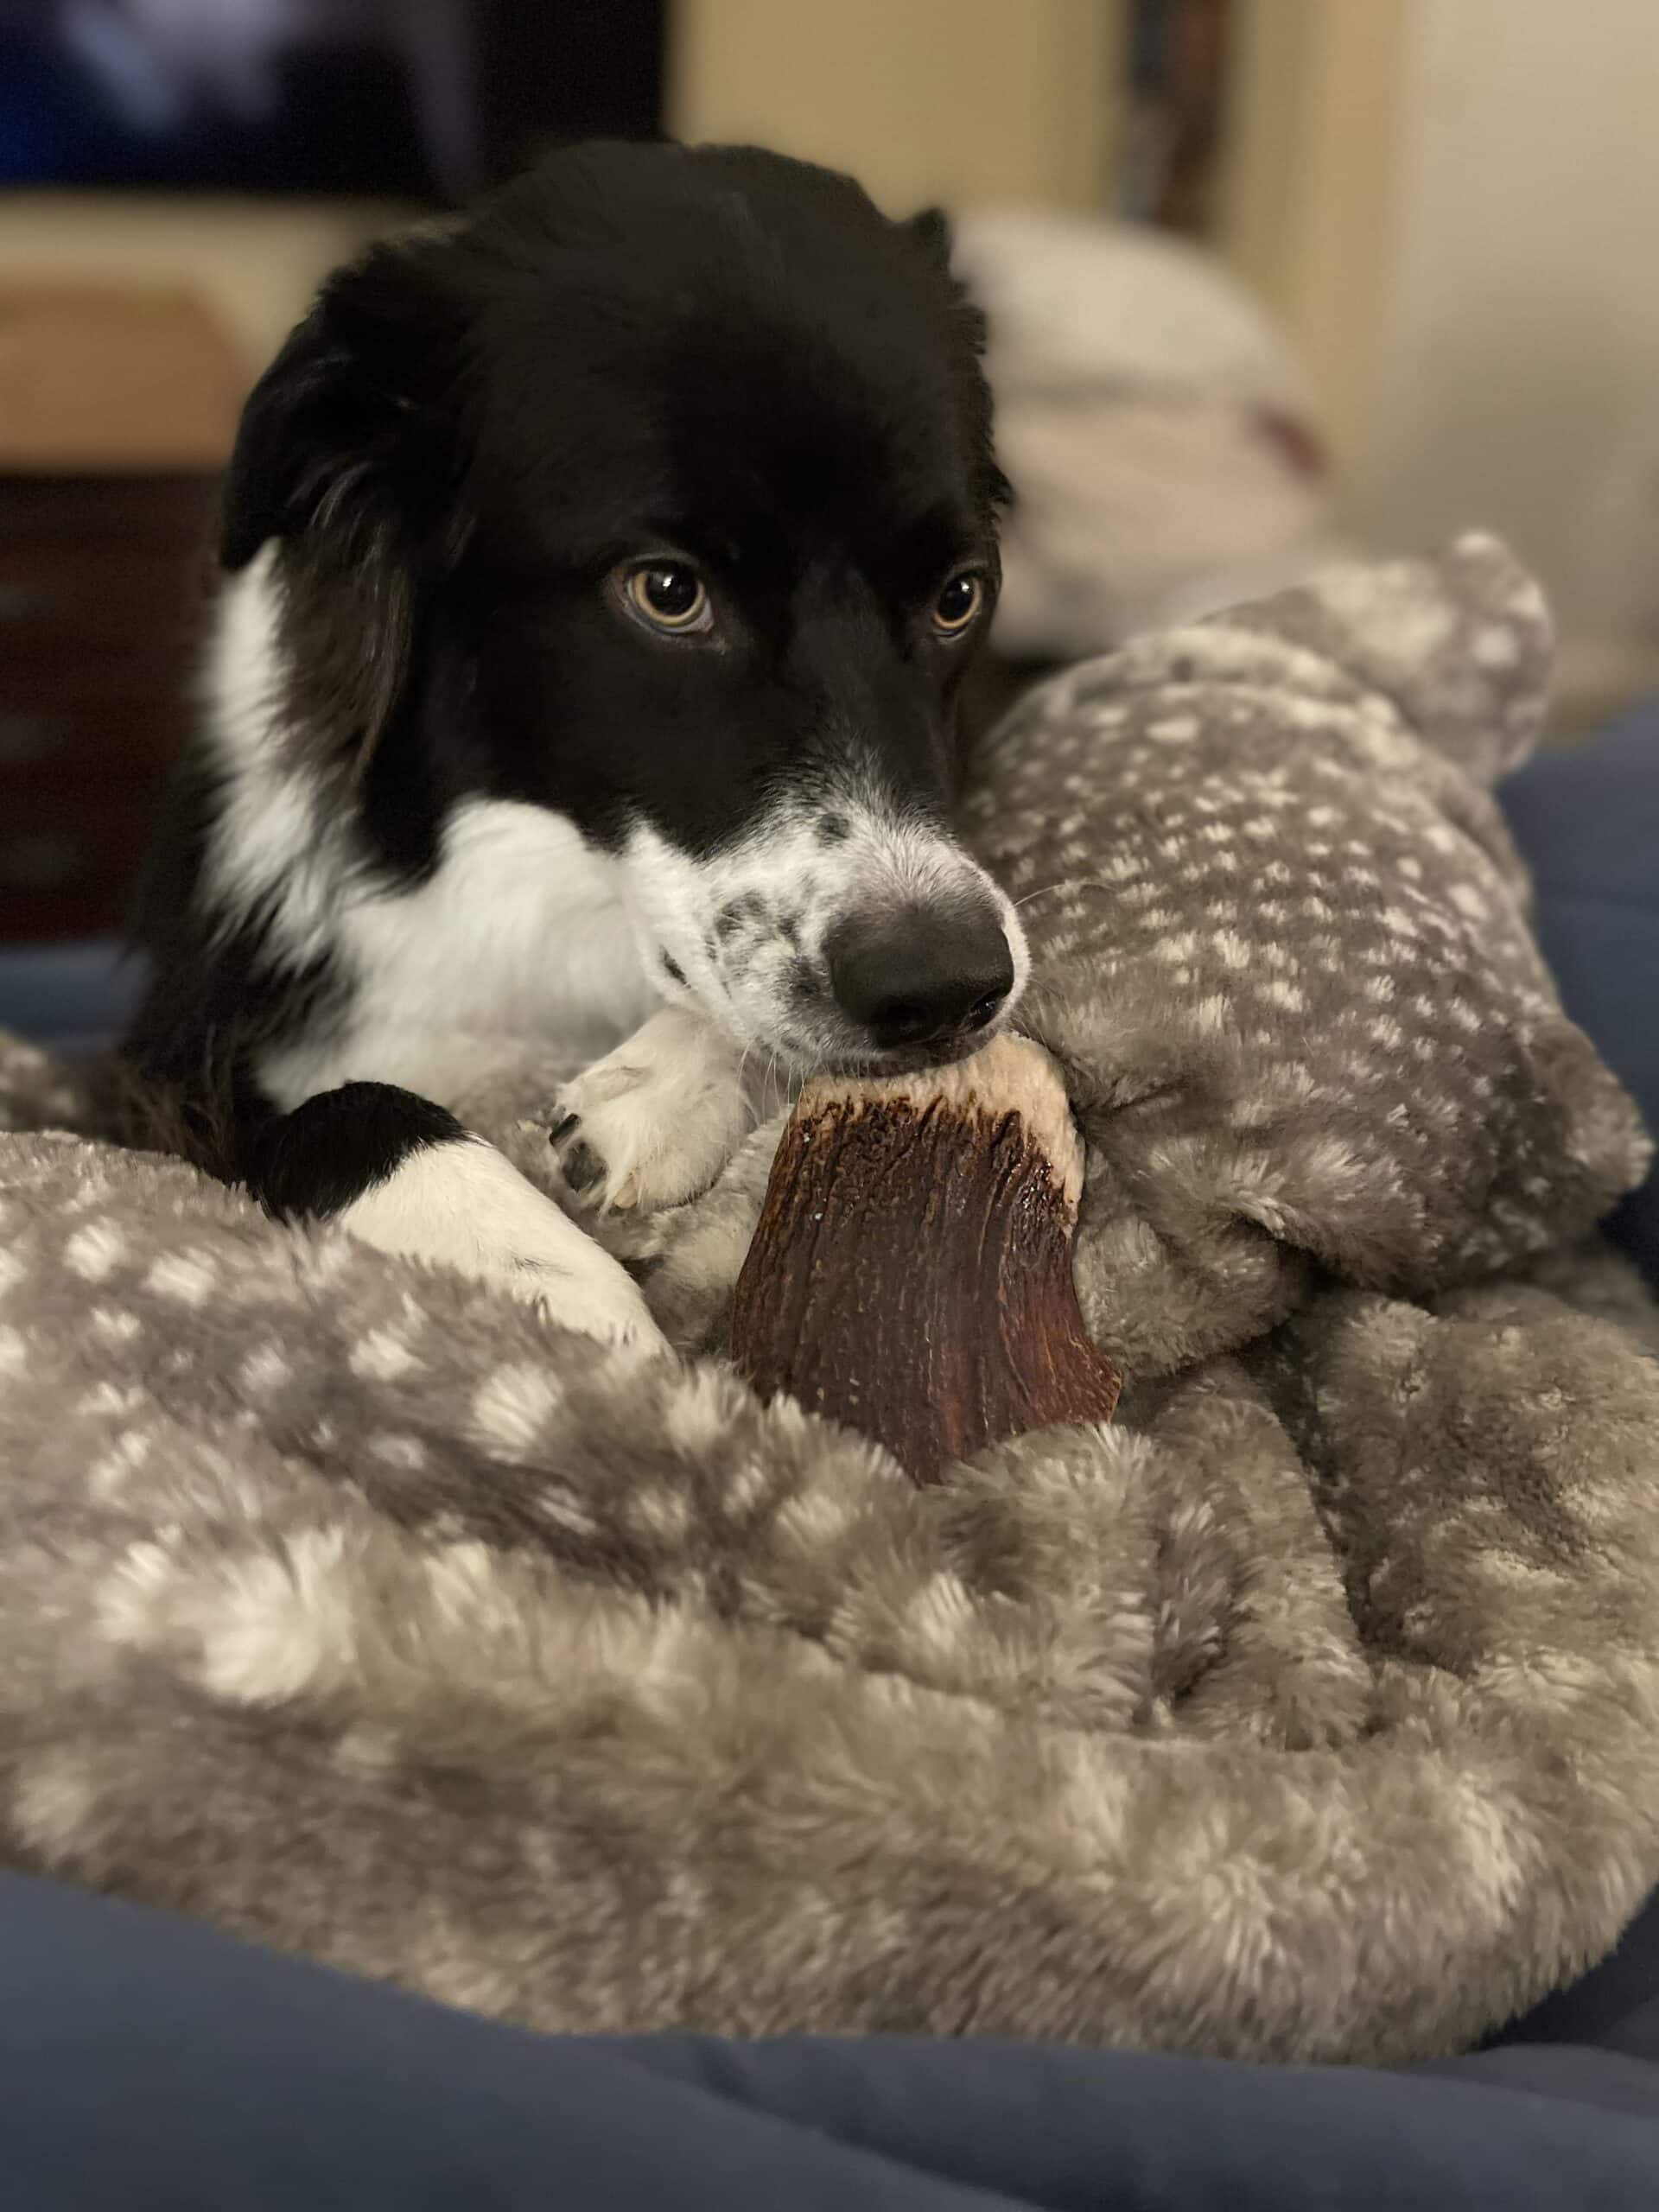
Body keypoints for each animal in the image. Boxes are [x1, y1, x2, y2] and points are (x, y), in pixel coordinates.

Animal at [130, 143, 1035, 1344]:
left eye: (959, 595)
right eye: (666, 592)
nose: (942, 993)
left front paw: (654, 1090)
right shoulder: (168, 1061)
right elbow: (340, 1105)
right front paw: (545, 1284)